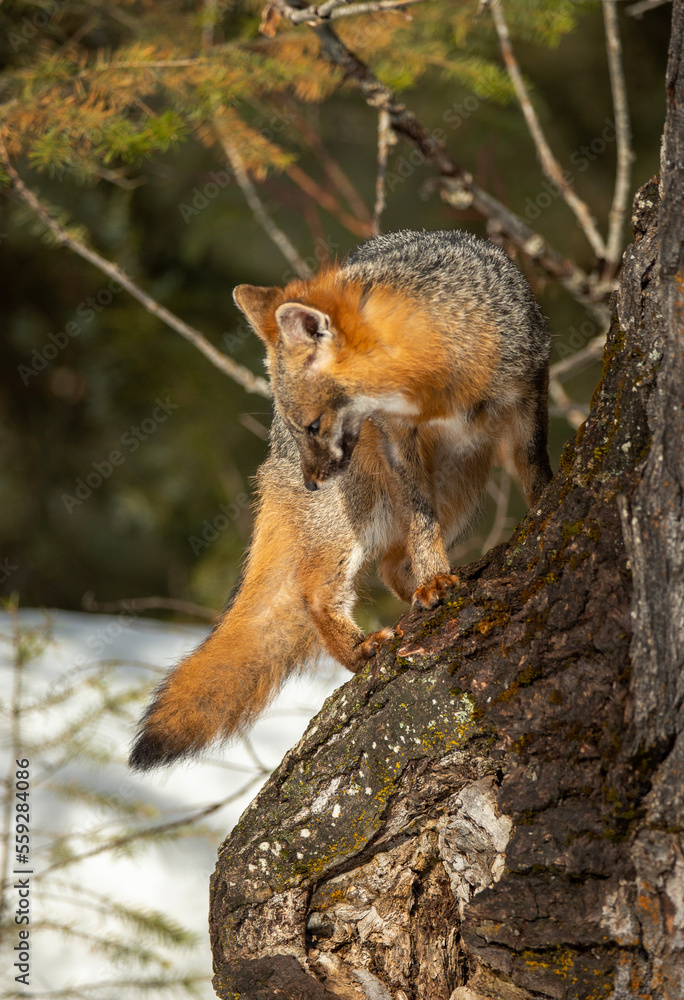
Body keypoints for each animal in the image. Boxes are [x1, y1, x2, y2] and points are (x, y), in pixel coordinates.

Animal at [129, 229, 552, 771]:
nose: (311, 482)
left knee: (391, 566)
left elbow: (534, 466)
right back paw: (362, 646)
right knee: (316, 590)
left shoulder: (527, 388)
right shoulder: (397, 435)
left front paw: (545, 501)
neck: (439, 386)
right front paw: (435, 578)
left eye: (313, 424)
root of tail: (272, 463)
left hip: (461, 487)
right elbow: (420, 522)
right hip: (359, 511)